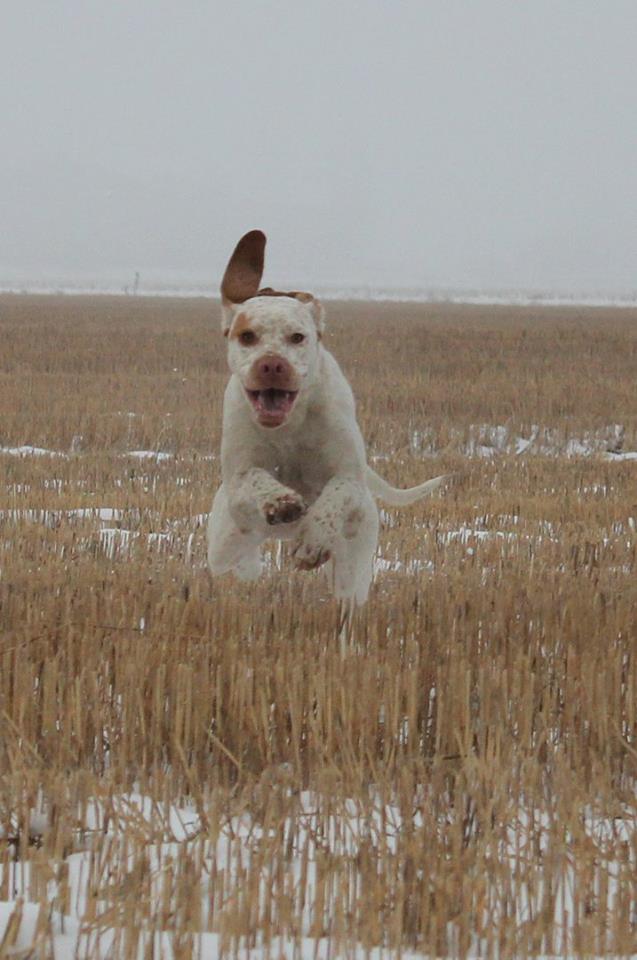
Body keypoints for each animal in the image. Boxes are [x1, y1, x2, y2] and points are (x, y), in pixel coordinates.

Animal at [206, 232, 444, 604]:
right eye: (247, 336)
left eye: (297, 336)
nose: (272, 364)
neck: (289, 424)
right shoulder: (238, 479)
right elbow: (256, 478)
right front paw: (281, 501)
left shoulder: (349, 476)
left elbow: (335, 493)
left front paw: (313, 543)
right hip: (225, 543)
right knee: (235, 561)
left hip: (353, 570)